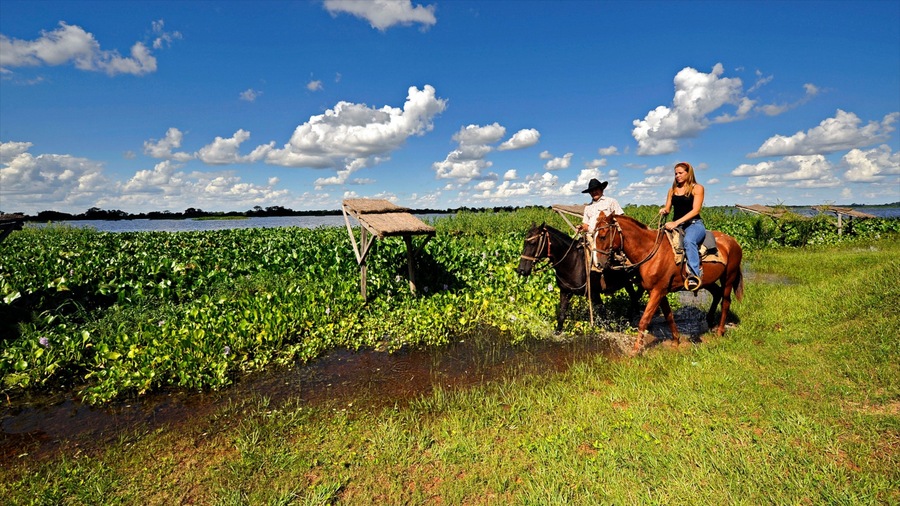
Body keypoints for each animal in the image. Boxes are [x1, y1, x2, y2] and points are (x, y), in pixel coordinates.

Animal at [592, 212, 743, 352]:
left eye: (603, 236)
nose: (598, 264)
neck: (651, 251)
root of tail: (734, 241)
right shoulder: (659, 291)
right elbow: (668, 315)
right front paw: (675, 341)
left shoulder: (657, 291)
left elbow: (644, 320)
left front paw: (635, 350)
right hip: (707, 281)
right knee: (716, 294)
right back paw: (710, 322)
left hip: (728, 277)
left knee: (725, 302)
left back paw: (719, 331)